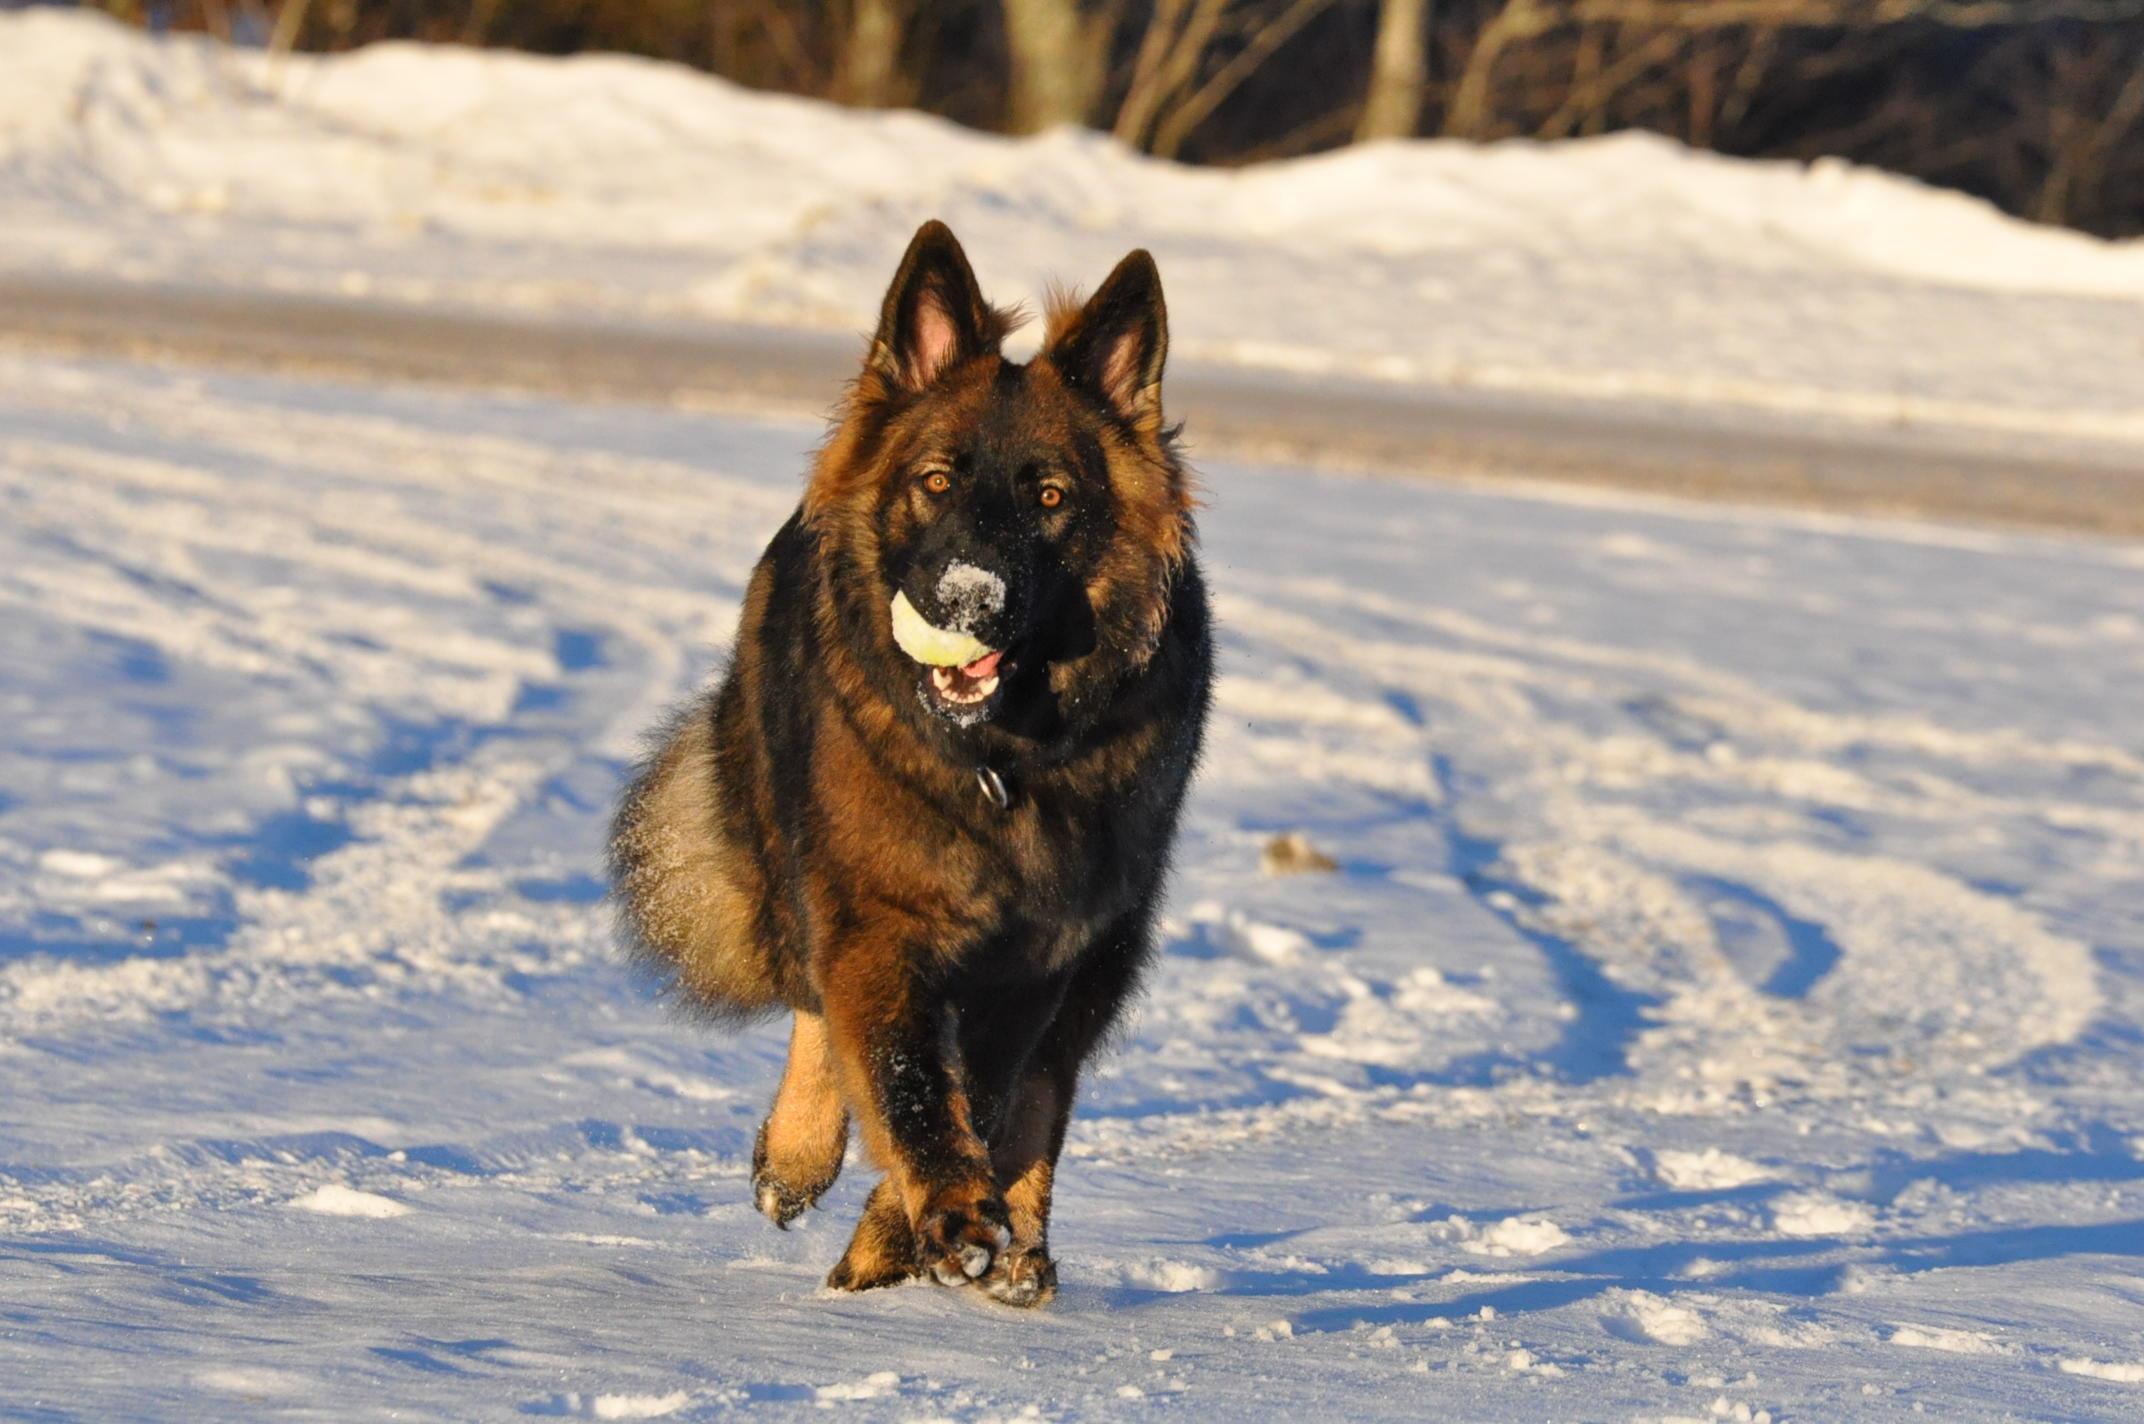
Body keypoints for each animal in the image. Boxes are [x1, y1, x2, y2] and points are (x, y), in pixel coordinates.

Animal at [608, 221, 1212, 1306]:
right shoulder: (876, 913)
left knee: (1042, 1095)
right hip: (786, 850)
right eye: (935, 480)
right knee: (815, 1000)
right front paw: (934, 1215)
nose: (966, 599)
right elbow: (905, 1079)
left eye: (1051, 498)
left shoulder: (1043, 955)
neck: (997, 756)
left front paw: (919, 1234)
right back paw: (798, 1157)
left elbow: (988, 1097)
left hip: (1110, 947)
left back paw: (1015, 1253)